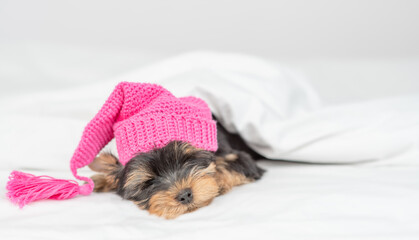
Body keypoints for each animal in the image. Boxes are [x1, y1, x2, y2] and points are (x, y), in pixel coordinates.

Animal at [88, 122, 266, 219]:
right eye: (149, 182)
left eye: (188, 160)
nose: (184, 195)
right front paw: (100, 180)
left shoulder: (240, 159)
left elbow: (225, 166)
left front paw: (216, 183)